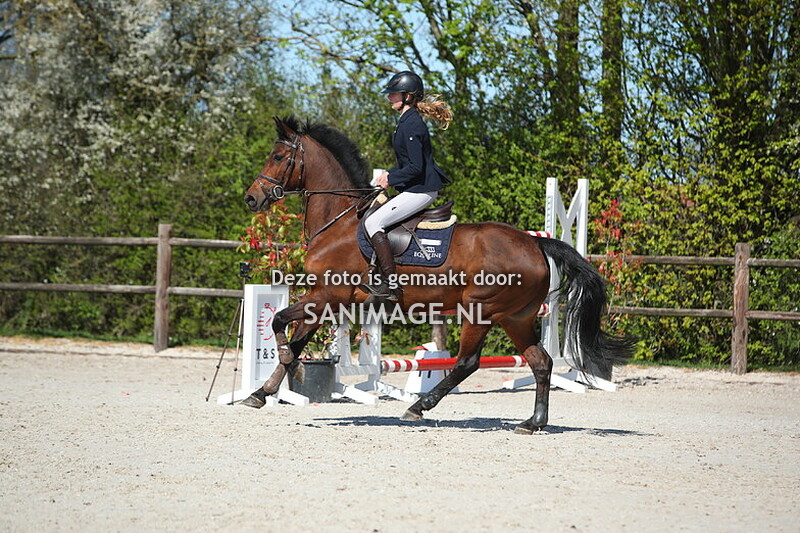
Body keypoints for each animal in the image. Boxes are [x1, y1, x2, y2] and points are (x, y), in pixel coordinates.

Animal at [242, 116, 633, 433]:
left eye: (278, 157)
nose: (251, 199)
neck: (339, 223)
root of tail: (536, 243)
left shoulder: (327, 296)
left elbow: (279, 321)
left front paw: (280, 374)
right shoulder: (326, 301)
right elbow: (295, 337)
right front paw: (261, 392)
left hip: (481, 310)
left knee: (467, 362)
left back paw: (419, 407)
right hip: (516, 317)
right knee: (541, 361)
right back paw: (533, 422)